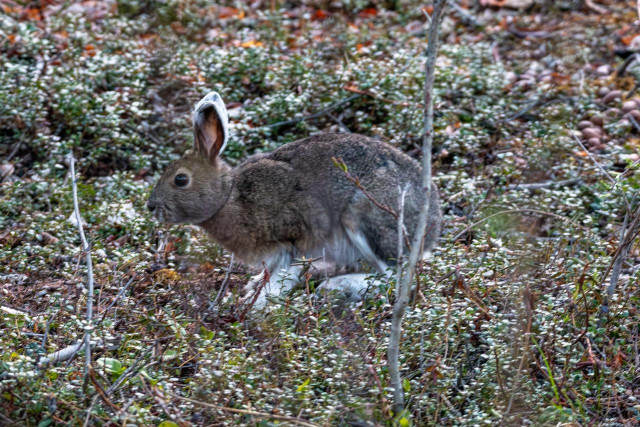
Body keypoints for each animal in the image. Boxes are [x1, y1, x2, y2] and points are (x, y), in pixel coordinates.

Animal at [147, 91, 442, 307]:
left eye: (180, 180)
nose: (151, 207)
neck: (229, 195)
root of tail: (433, 224)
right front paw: (253, 289)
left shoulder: (293, 237)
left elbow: (282, 275)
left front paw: (257, 305)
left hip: (366, 217)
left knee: (393, 275)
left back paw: (339, 287)